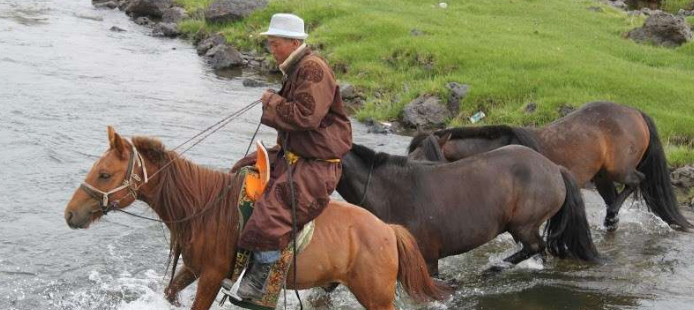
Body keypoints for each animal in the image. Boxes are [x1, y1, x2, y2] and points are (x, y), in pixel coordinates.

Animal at [62, 126, 448, 310]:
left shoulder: (212, 276)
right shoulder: (193, 268)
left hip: (378, 298)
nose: (69, 214)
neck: (205, 207)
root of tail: (388, 231)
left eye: (105, 175)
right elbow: (170, 292)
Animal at [338, 142, 600, 274]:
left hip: (523, 225)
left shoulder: (428, 259)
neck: (391, 193)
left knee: (535, 246)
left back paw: (493, 268)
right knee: (538, 251)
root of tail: (555, 168)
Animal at [410, 100, 692, 231]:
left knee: (637, 181)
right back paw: (610, 221)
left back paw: (612, 216)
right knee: (616, 194)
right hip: (602, 176)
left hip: (619, 170)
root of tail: (635, 112)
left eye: (424, 159)